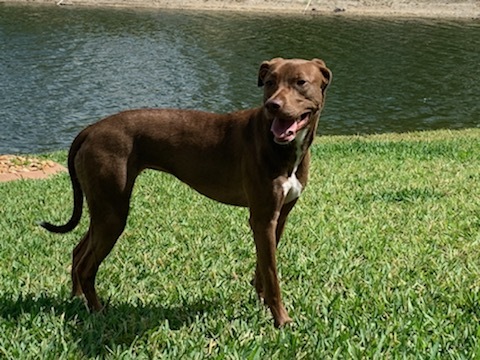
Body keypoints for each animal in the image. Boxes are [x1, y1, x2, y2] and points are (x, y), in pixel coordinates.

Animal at [41, 57, 332, 328]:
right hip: (113, 212)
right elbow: (273, 276)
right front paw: (281, 320)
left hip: (104, 210)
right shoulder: (262, 219)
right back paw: (98, 312)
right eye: (270, 81)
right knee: (87, 266)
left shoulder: (277, 217)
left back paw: (77, 299)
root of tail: (91, 129)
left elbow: (264, 269)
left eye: (300, 82)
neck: (282, 147)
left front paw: (261, 302)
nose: (273, 105)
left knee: (78, 253)